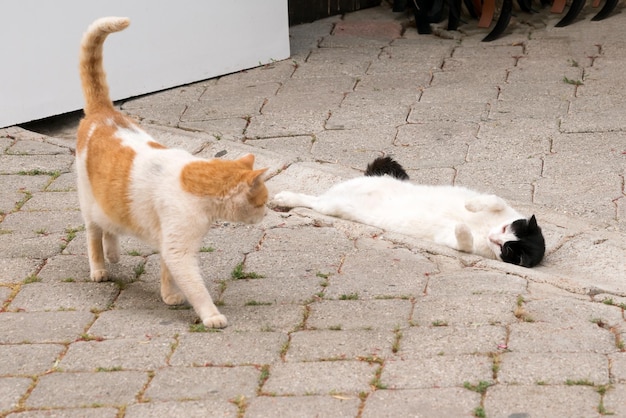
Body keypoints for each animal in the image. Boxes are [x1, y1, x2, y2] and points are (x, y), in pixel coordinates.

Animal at [75, 17, 266, 330]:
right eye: (262, 202)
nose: (267, 214)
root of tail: (103, 113)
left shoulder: (170, 242)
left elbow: (167, 272)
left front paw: (169, 296)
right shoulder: (180, 250)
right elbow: (195, 287)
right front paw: (211, 315)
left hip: (109, 205)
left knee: (110, 229)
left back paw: (113, 255)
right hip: (89, 202)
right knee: (94, 234)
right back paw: (100, 268)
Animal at [272, 157, 540, 268]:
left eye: (504, 249)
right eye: (503, 230)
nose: (493, 237)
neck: (485, 230)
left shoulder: (455, 242)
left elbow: (463, 240)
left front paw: (462, 226)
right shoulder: (503, 206)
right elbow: (493, 199)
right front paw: (470, 206)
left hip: (332, 205)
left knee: (313, 201)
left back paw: (284, 198)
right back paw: (283, 197)